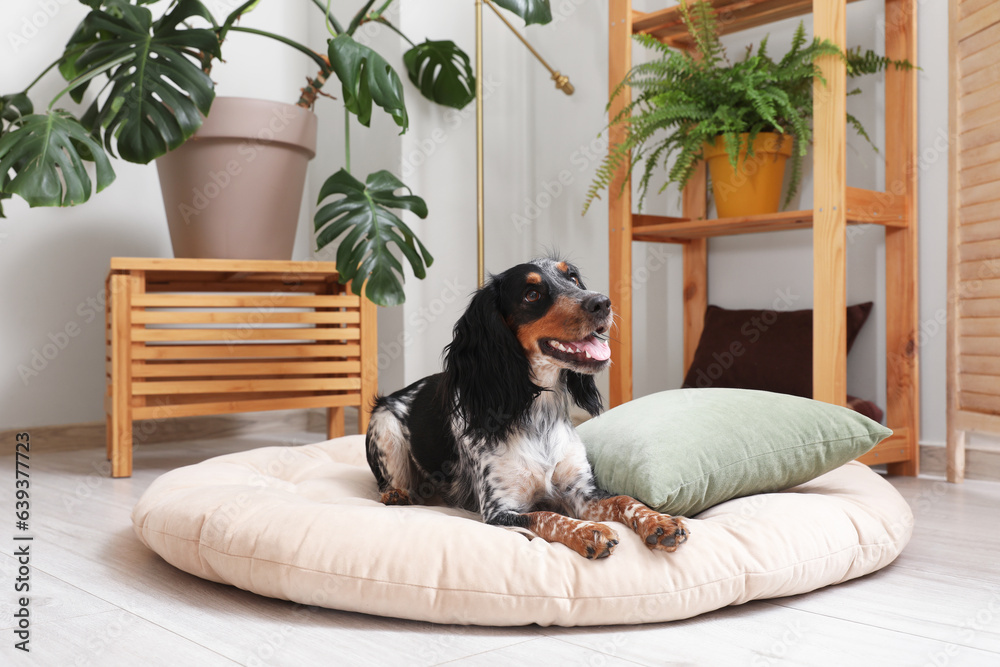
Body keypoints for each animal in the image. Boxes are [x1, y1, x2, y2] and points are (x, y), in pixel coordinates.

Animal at [368, 260, 688, 560]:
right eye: (531, 294)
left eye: (572, 278)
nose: (602, 302)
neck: (537, 413)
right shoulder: (498, 511)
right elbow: (546, 515)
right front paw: (589, 532)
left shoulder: (581, 492)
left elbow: (624, 499)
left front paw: (660, 522)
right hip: (385, 427)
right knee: (388, 481)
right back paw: (395, 494)